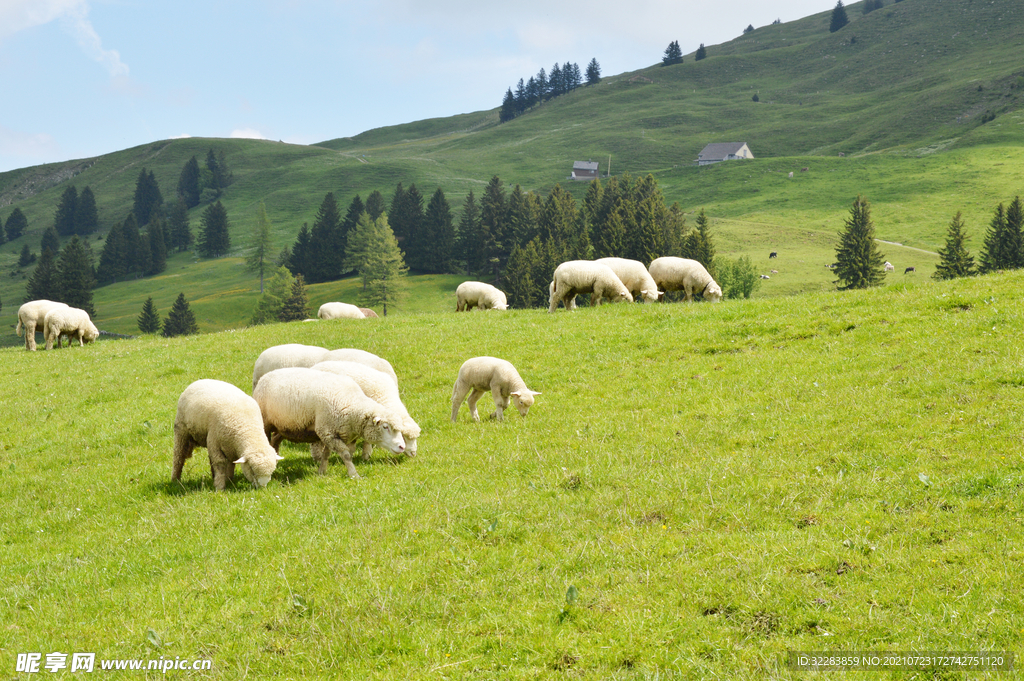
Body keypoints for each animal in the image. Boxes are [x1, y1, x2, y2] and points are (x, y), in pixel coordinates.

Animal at [251, 366, 407, 477]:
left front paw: (322, 472)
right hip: (265, 423)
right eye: (385, 427)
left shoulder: (331, 432)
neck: (352, 405)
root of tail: (265, 376)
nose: (402, 447)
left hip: (284, 427)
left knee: (275, 442)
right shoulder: (327, 431)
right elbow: (345, 455)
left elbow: (327, 454)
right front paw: (354, 474)